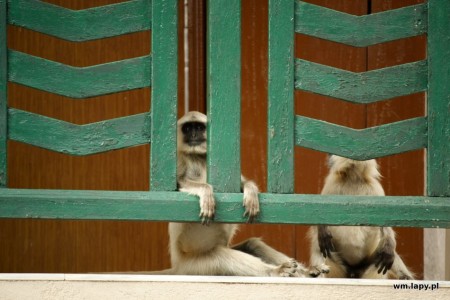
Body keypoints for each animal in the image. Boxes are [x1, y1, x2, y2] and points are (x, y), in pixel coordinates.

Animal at [162, 112, 310, 276]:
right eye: (188, 128)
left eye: (199, 128)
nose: (193, 134)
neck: (198, 158)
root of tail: (177, 267)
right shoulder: (179, 159)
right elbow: (178, 185)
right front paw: (206, 193)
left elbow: (241, 185)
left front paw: (251, 192)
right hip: (196, 266)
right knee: (222, 256)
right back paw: (275, 271)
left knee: (253, 244)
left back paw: (307, 272)